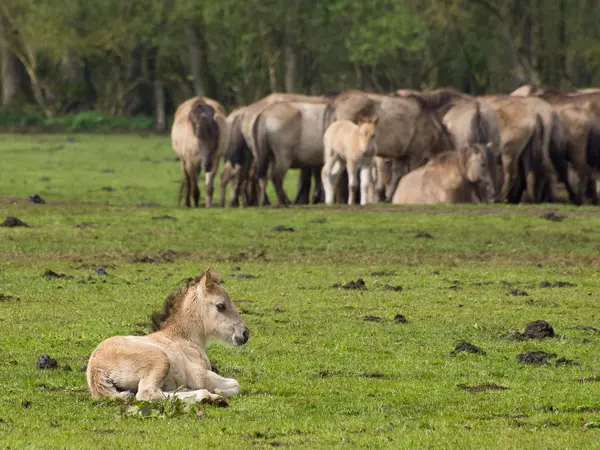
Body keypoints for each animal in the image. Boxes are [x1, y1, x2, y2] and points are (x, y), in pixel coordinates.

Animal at [86, 268, 248, 402]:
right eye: (220, 305)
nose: (245, 333)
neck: (183, 339)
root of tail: (96, 369)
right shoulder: (199, 375)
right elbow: (236, 383)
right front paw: (218, 391)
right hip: (160, 360)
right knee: (147, 393)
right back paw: (210, 397)